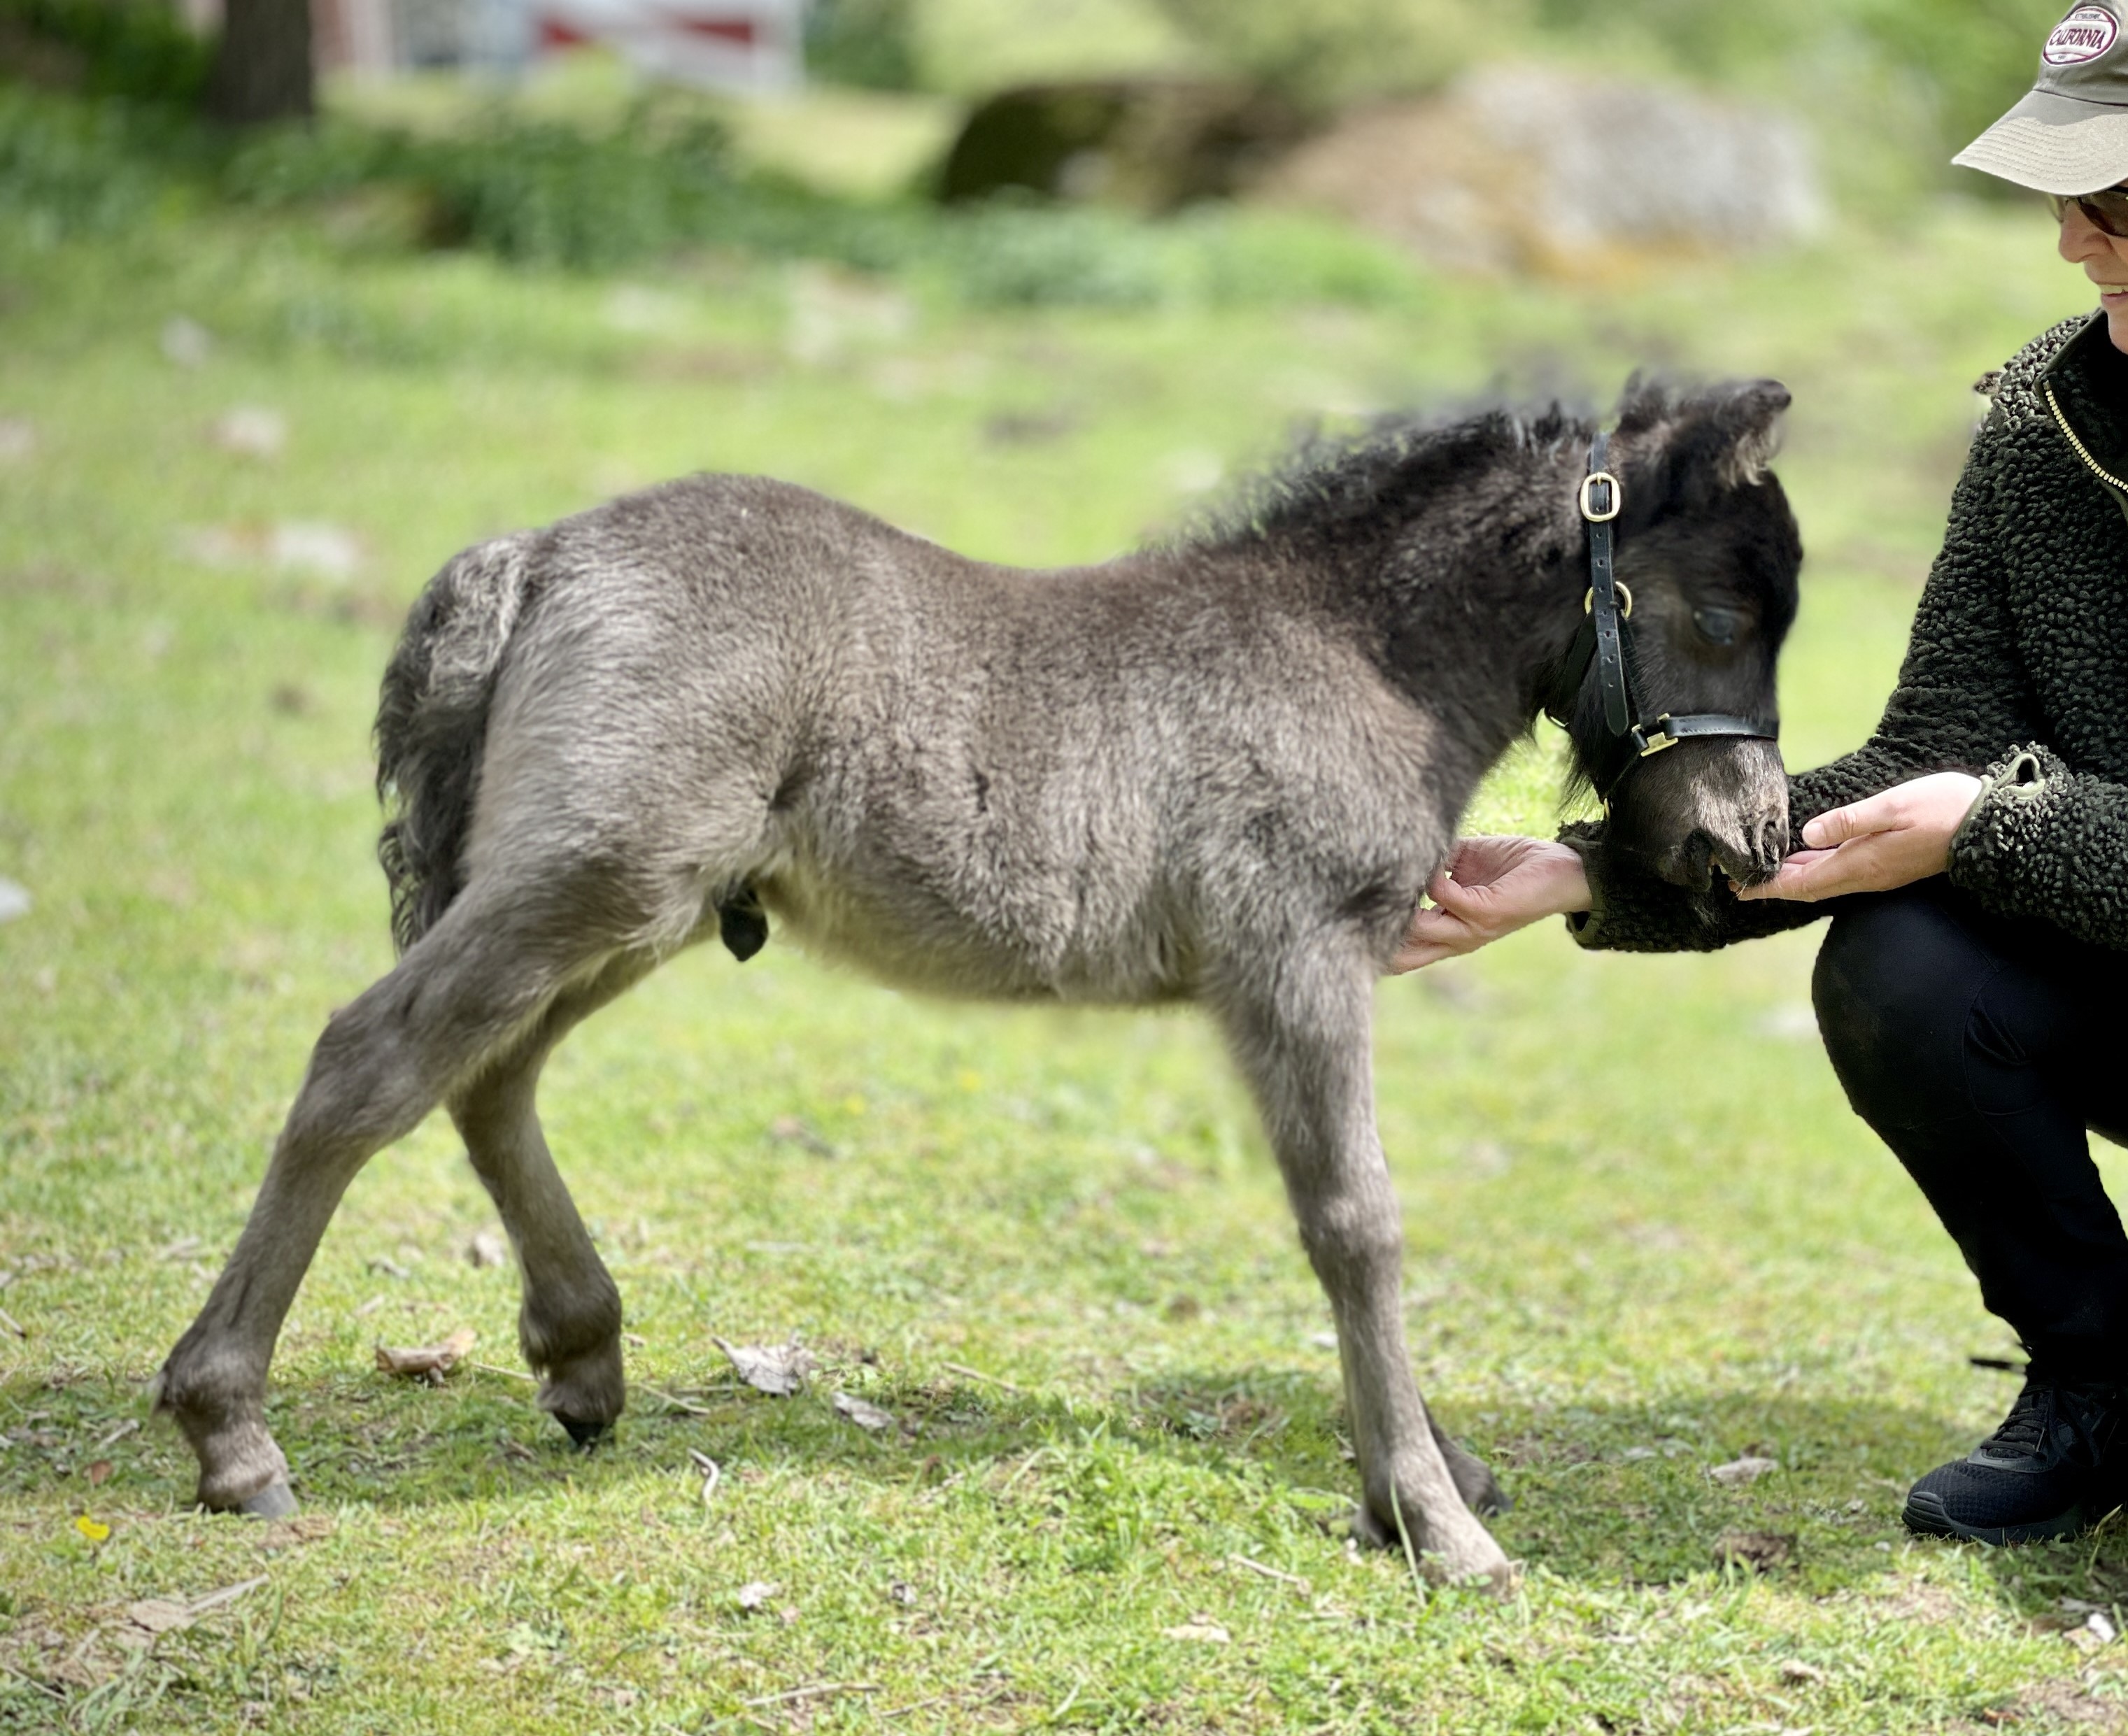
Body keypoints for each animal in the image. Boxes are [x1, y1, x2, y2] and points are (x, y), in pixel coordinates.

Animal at [155, 377, 1800, 1586]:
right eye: (1722, 614)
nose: (1747, 841)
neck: (1356, 653)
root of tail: (542, 553)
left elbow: (1352, 1222)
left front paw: (1434, 1472)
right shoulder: (1295, 954)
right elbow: (1358, 1222)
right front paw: (1437, 1521)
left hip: (635, 905)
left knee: (486, 1070)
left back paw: (581, 1356)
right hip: (599, 880)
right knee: (370, 1056)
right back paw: (231, 1433)